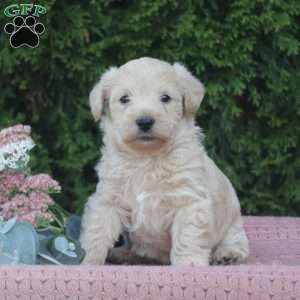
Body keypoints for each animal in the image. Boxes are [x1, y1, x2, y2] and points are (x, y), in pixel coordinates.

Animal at [79, 57, 248, 266]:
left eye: (165, 97)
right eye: (124, 99)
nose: (144, 121)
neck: (146, 158)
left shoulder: (189, 202)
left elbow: (187, 237)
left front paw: (189, 264)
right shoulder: (108, 198)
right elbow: (97, 232)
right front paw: (87, 261)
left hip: (233, 224)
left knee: (235, 240)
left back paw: (227, 254)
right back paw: (123, 254)